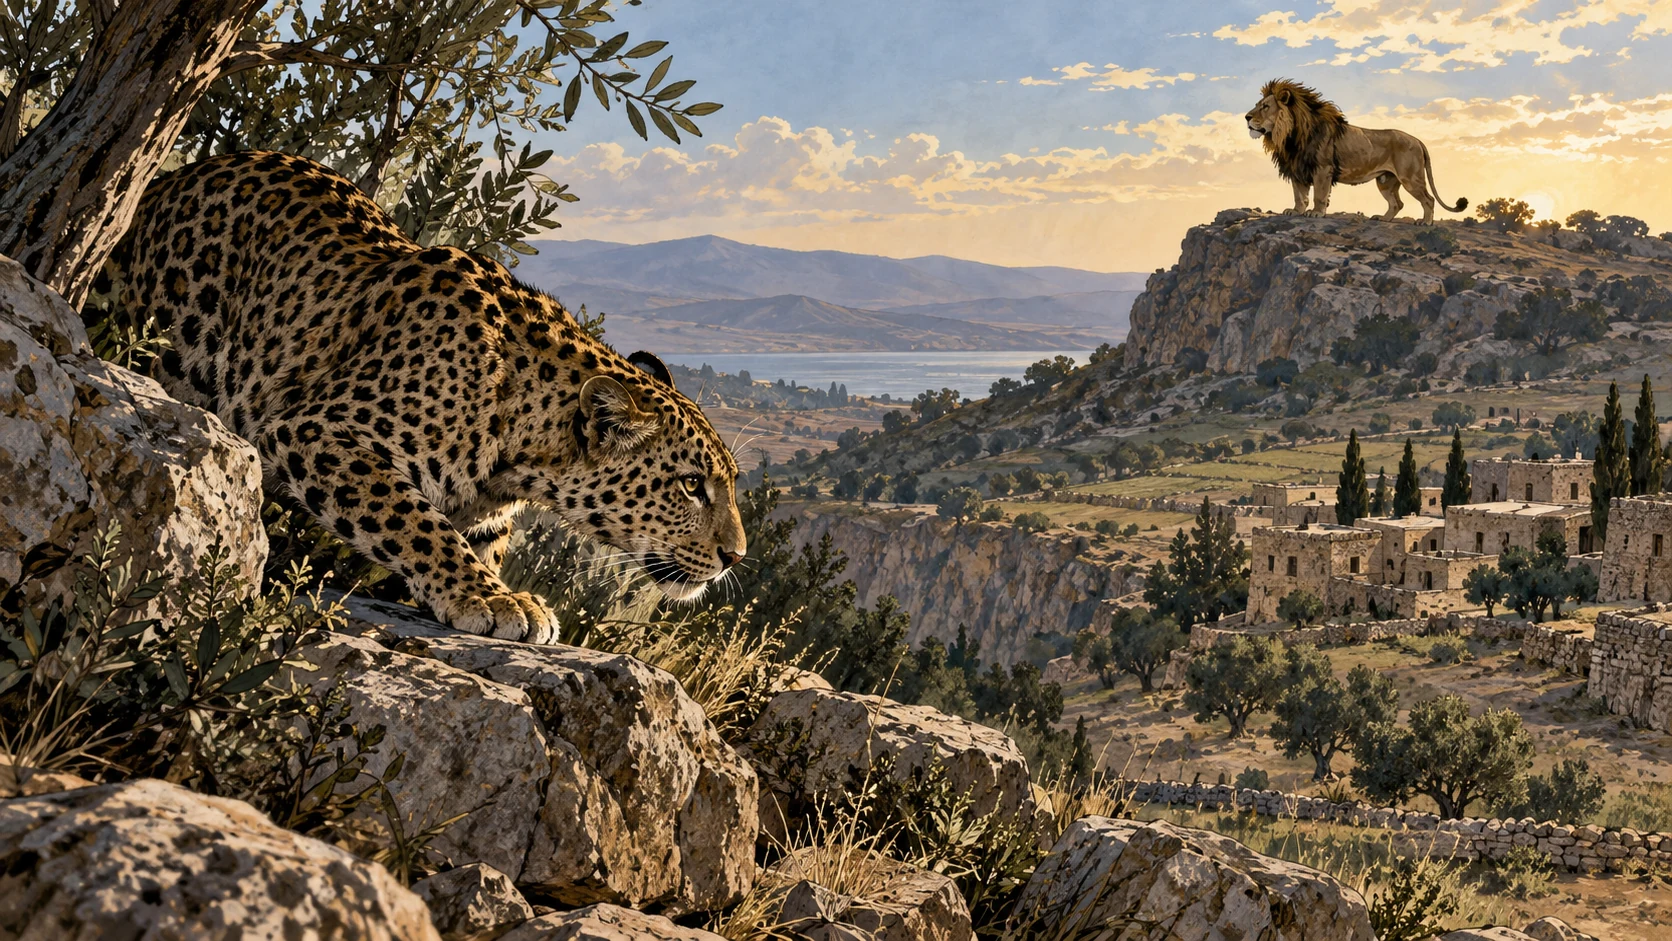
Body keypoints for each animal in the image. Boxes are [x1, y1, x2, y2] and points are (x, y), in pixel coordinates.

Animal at [105, 151, 746, 643]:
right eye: (692, 484)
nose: (734, 559)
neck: (522, 448)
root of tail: (164, 181)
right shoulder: (314, 429)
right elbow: (416, 522)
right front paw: (492, 601)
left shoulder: (488, 514)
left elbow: (472, 540)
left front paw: (498, 592)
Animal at [1245, 79, 1466, 224]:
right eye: (1257, 105)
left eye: (1265, 107)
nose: (1246, 117)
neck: (1289, 136)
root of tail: (1418, 140)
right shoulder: (1297, 169)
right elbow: (1299, 195)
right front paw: (1295, 211)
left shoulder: (1322, 169)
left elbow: (1319, 195)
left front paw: (1316, 213)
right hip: (1385, 181)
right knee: (1396, 203)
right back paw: (1383, 219)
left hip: (1410, 177)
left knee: (1428, 199)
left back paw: (1425, 222)